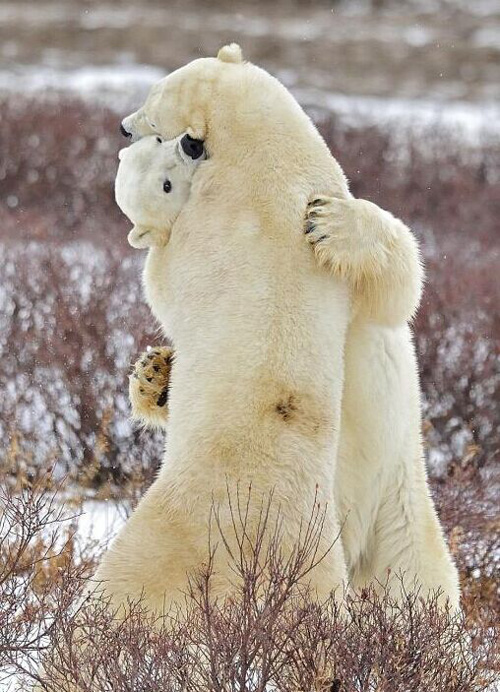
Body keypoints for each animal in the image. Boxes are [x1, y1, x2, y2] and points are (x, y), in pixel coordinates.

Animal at [95, 43, 458, 612]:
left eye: (152, 105)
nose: (122, 125)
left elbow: (395, 289)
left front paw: (331, 223)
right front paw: (154, 376)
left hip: (399, 509)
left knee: (417, 590)